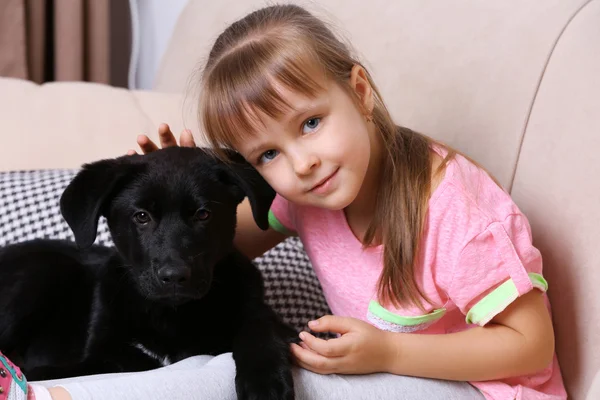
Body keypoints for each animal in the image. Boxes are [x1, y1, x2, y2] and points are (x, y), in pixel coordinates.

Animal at [0, 148, 298, 400]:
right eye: (142, 216)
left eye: (203, 214)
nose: (175, 276)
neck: (172, 314)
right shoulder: (103, 352)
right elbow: (120, 362)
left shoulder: (260, 311)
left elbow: (259, 326)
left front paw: (265, 383)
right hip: (41, 271)